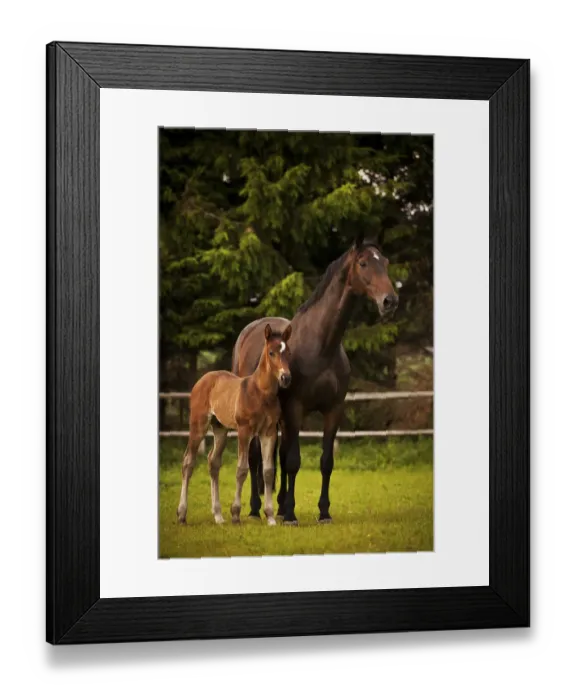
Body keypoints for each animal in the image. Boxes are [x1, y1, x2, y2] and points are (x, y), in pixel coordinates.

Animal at [177, 323, 293, 527]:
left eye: (288, 352)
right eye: (271, 352)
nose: (285, 378)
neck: (261, 393)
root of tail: (204, 379)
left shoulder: (269, 432)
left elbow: (268, 471)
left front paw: (270, 517)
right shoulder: (244, 431)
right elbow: (242, 469)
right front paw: (236, 514)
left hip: (220, 429)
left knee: (213, 462)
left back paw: (218, 516)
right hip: (198, 424)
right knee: (188, 462)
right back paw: (182, 514)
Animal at [231, 234, 399, 525]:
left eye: (386, 262)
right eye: (364, 263)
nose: (389, 301)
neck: (321, 346)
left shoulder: (333, 410)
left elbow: (324, 462)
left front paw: (322, 512)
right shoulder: (295, 408)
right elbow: (293, 461)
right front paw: (291, 515)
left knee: (277, 455)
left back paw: (278, 505)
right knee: (254, 457)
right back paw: (253, 509)